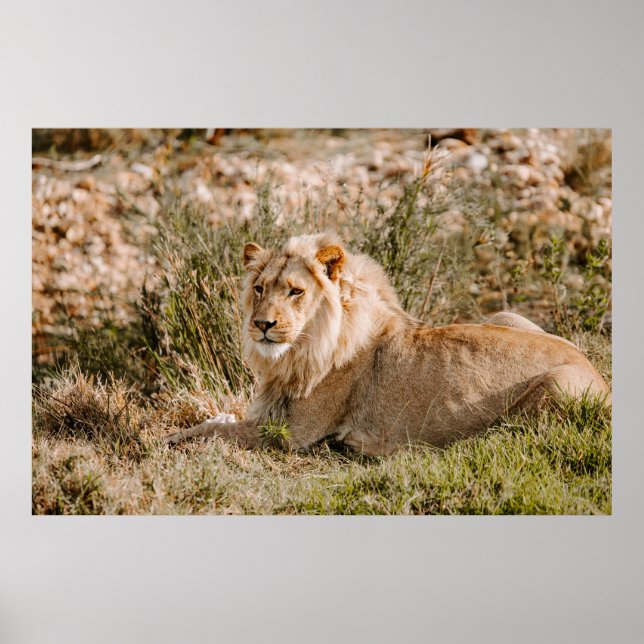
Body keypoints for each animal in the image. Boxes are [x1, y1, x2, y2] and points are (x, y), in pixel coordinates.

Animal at [166, 232, 610, 455]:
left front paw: (170, 439)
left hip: (555, 386)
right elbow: (221, 420)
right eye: (259, 288)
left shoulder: (292, 434)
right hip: (504, 316)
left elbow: (219, 432)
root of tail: (594, 368)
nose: (261, 324)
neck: (296, 355)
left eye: (295, 291)